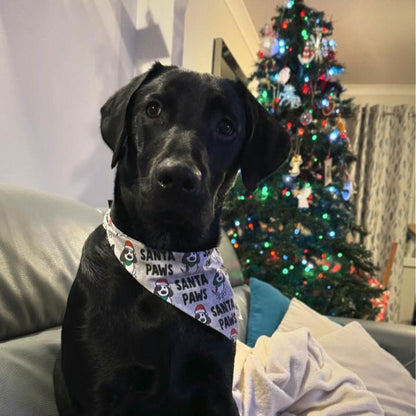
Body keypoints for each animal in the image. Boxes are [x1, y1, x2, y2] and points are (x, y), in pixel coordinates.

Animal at [54, 62, 290, 416]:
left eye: (227, 126)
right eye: (153, 109)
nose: (178, 177)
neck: (166, 260)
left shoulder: (217, 388)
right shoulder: (101, 392)